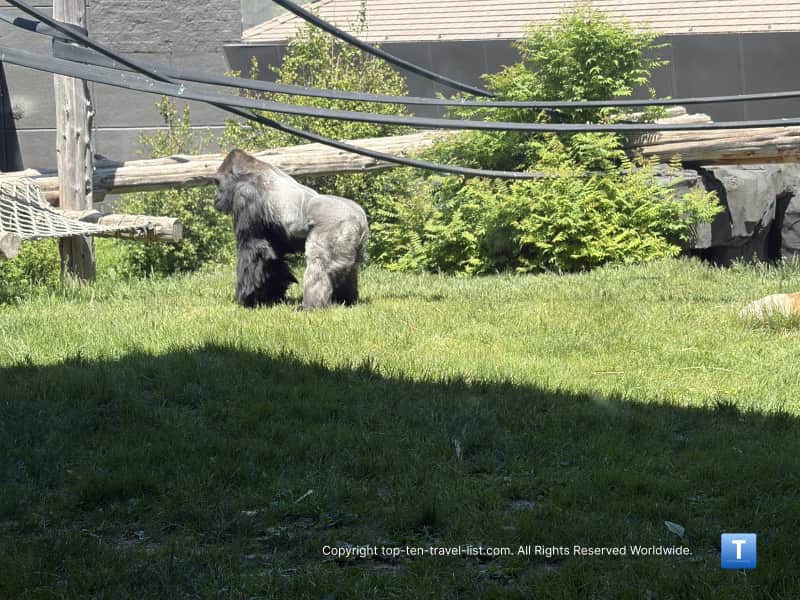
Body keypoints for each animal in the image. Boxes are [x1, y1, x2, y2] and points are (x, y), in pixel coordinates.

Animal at [213, 149, 369, 309]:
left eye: (217, 183)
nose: (216, 197)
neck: (251, 172)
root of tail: (359, 218)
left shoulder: (245, 194)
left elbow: (252, 249)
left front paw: (248, 299)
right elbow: (272, 256)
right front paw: (270, 295)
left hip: (336, 226)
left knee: (319, 264)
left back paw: (311, 306)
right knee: (348, 268)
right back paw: (346, 300)